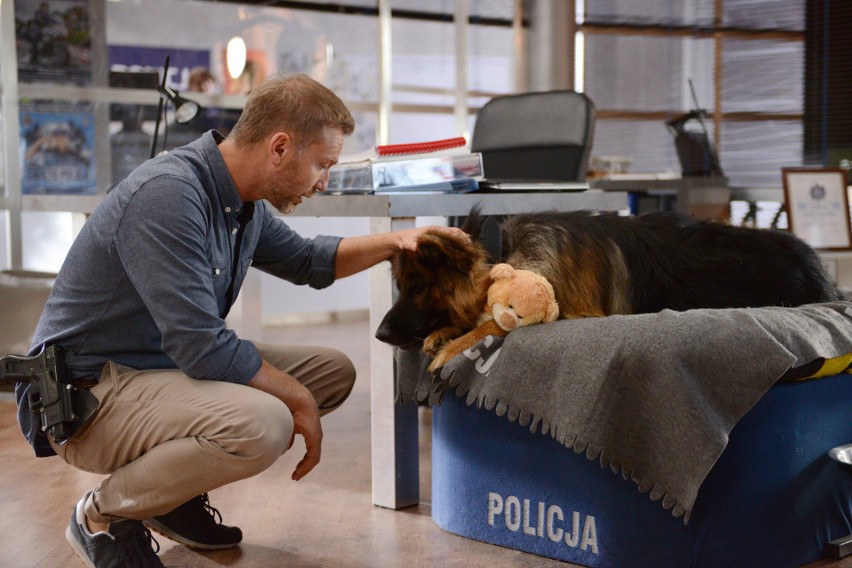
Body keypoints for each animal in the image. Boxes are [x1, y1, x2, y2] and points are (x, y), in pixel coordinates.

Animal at [376, 209, 844, 368]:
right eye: (401, 286)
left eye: (418, 287)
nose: (379, 335)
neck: (505, 250)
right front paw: (443, 333)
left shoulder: (561, 308)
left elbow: (491, 322)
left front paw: (455, 344)